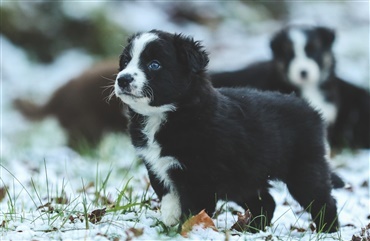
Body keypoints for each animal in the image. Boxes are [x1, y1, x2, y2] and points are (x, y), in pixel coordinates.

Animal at [114, 29, 340, 233]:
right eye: (125, 62)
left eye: (154, 64)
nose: (122, 79)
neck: (164, 114)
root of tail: (309, 108)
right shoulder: (155, 165)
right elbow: (168, 194)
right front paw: (169, 218)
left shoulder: (199, 177)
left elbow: (194, 209)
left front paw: (186, 231)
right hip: (245, 177)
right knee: (266, 202)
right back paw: (252, 229)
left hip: (304, 168)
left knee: (322, 199)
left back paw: (327, 229)